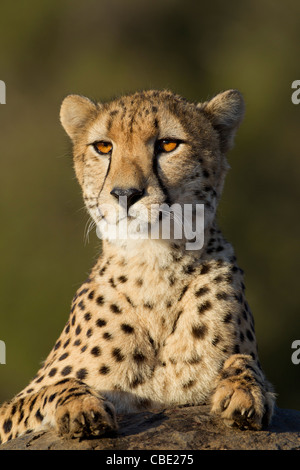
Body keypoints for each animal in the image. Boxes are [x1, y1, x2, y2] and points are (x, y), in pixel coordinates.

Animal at [0, 89, 276, 444]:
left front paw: (244, 392)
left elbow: (245, 363)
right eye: (104, 147)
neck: (153, 262)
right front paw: (81, 407)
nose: (125, 194)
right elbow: (54, 388)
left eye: (168, 144)